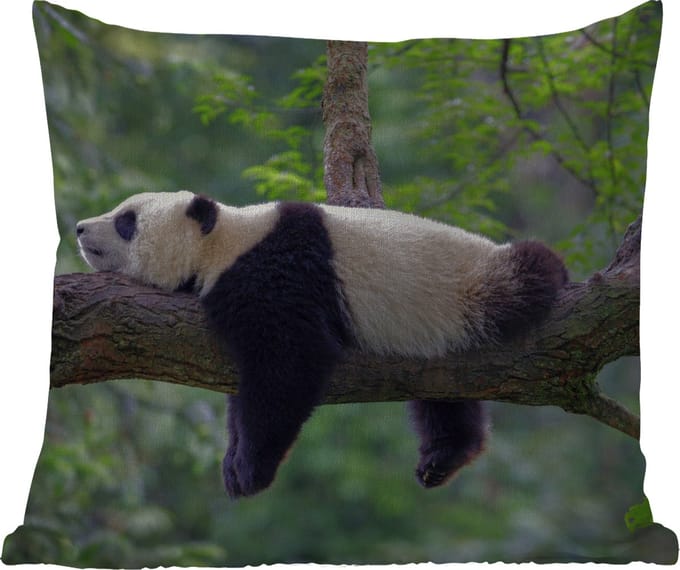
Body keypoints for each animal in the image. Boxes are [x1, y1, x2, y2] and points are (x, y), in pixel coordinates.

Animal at [76, 191, 568, 499]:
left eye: (126, 222)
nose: (80, 228)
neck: (224, 240)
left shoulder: (276, 273)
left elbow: (288, 364)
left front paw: (248, 470)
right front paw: (233, 460)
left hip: (472, 286)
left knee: (526, 275)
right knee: (443, 394)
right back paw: (444, 456)